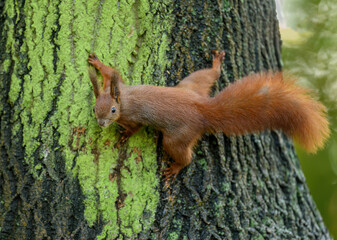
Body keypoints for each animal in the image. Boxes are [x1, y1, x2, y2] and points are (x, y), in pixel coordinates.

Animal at [86, 51, 328, 181]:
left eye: (113, 111)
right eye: (94, 108)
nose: (101, 123)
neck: (123, 99)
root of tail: (201, 110)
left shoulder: (133, 115)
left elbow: (134, 127)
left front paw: (124, 135)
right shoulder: (114, 85)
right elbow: (110, 72)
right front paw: (96, 63)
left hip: (176, 138)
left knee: (186, 157)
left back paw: (176, 168)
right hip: (192, 84)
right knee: (209, 75)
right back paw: (216, 65)